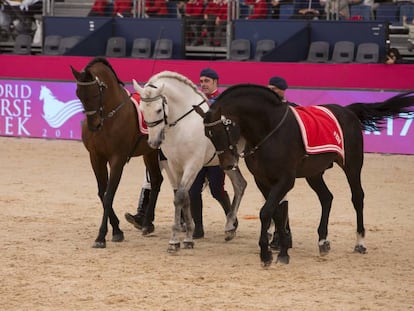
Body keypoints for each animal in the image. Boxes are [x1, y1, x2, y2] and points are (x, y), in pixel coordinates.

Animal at [70, 57, 163, 249]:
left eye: (95, 94)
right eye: (78, 94)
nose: (94, 125)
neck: (110, 117)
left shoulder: (117, 160)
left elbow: (109, 195)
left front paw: (101, 236)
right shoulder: (96, 158)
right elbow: (102, 192)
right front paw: (117, 230)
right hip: (149, 152)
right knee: (157, 180)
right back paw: (147, 223)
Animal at [134, 72, 247, 252]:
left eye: (159, 109)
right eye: (143, 110)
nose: (153, 142)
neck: (183, 125)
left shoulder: (192, 165)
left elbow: (180, 197)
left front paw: (174, 241)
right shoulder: (175, 165)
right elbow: (184, 196)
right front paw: (187, 238)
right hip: (229, 163)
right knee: (240, 185)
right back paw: (230, 228)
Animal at [196, 84, 414, 266]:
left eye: (222, 129)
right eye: (208, 135)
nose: (228, 164)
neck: (270, 130)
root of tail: (348, 111)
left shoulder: (285, 180)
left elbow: (266, 212)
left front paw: (267, 255)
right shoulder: (264, 181)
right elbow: (277, 212)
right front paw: (282, 251)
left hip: (352, 165)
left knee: (357, 197)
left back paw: (360, 242)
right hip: (314, 173)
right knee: (327, 198)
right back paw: (323, 241)